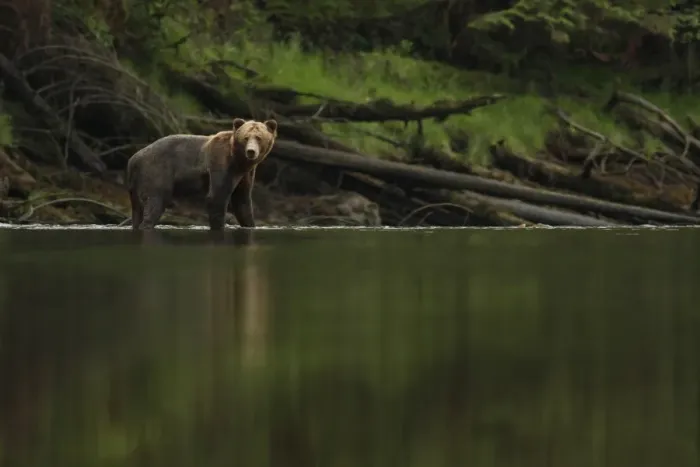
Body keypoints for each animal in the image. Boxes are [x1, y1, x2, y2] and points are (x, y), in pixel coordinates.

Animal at [126, 117, 278, 230]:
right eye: (246, 137)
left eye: (259, 137)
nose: (251, 151)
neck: (238, 161)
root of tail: (134, 158)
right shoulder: (220, 163)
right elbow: (217, 197)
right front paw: (219, 226)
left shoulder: (245, 175)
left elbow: (243, 203)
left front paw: (250, 224)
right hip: (156, 171)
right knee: (155, 201)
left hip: (135, 184)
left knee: (137, 210)